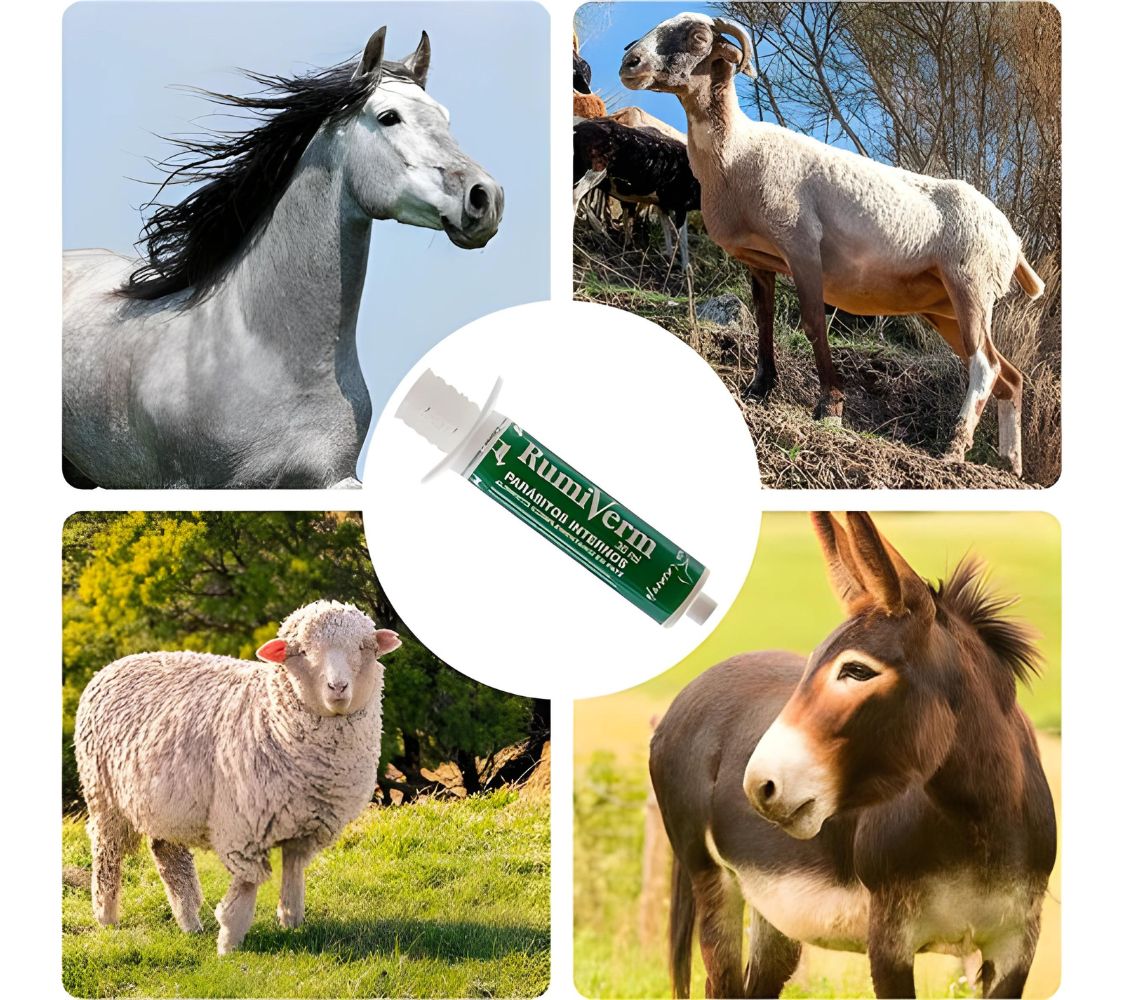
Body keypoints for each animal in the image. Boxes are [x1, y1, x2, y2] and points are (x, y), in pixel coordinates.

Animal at [74, 600, 401, 954]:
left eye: (364, 648)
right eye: (301, 651)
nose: (337, 688)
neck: (270, 712)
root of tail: (112, 666)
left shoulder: (306, 824)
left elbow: (294, 869)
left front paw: (291, 919)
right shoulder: (244, 827)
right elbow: (247, 884)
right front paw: (229, 942)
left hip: (165, 802)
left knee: (168, 855)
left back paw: (189, 922)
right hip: (103, 794)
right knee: (107, 852)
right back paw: (107, 917)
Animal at [573, 118, 700, 270]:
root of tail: (579, 127)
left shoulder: (663, 205)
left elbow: (667, 232)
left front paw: (668, 260)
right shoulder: (681, 205)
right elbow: (682, 238)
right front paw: (685, 269)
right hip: (592, 173)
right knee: (575, 198)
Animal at [620, 12, 1045, 476]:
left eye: (698, 37)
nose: (630, 63)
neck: (736, 151)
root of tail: (1013, 240)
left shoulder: (801, 244)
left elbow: (811, 323)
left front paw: (830, 406)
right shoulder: (758, 259)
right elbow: (764, 321)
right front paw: (759, 388)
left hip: (970, 282)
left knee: (985, 366)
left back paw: (954, 446)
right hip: (945, 306)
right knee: (1009, 376)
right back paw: (1010, 463)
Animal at [650, 512, 1055, 998]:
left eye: (857, 671)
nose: (758, 786)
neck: (980, 823)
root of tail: (694, 686)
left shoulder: (1016, 945)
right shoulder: (890, 941)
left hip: (770, 903)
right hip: (711, 877)